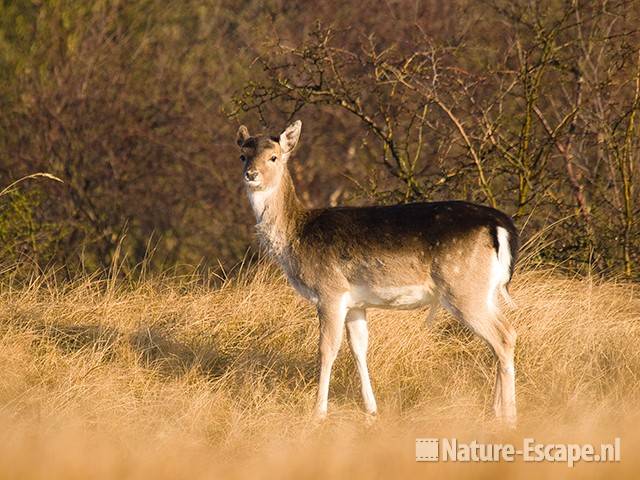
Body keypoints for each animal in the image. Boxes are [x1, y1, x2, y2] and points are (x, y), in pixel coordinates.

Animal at [235, 121, 520, 428]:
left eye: (274, 157)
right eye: (243, 155)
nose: (251, 174)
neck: (295, 237)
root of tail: (499, 225)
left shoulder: (329, 291)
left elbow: (327, 349)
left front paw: (318, 413)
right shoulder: (355, 303)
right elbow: (359, 348)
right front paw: (371, 410)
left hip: (463, 287)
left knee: (503, 336)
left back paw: (509, 417)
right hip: (485, 290)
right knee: (504, 335)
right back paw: (495, 411)